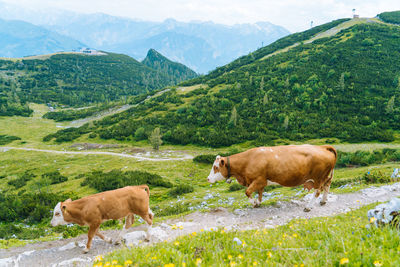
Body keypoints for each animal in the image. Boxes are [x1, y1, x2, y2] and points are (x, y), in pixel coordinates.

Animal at [208, 146, 336, 213]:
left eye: (215, 167)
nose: (208, 179)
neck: (248, 161)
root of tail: (322, 147)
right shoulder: (259, 181)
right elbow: (259, 193)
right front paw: (258, 202)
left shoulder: (259, 180)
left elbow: (248, 192)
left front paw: (254, 203)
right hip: (325, 176)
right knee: (327, 185)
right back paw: (323, 201)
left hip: (318, 178)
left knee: (317, 191)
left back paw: (308, 207)